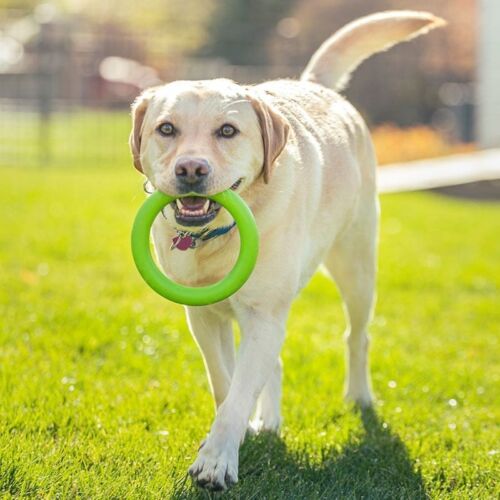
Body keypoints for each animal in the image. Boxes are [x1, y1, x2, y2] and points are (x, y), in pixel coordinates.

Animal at [130, 12, 446, 492]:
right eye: (166, 129)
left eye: (227, 131)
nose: (191, 169)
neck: (216, 239)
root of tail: (316, 86)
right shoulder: (203, 317)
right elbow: (226, 383)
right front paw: (237, 433)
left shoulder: (263, 317)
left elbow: (239, 391)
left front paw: (216, 461)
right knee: (273, 364)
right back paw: (269, 422)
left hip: (356, 267)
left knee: (357, 336)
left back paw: (359, 396)